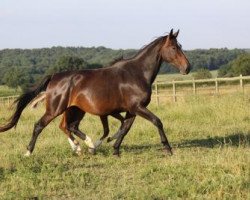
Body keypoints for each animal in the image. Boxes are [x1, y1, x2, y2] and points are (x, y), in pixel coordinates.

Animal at [0, 28, 189, 156]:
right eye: (174, 48)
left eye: (180, 46)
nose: (187, 67)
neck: (137, 73)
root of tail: (54, 76)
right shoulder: (137, 107)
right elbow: (157, 122)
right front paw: (168, 148)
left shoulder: (131, 110)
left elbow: (125, 128)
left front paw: (115, 149)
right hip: (55, 109)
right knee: (40, 125)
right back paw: (29, 152)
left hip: (75, 109)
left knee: (69, 126)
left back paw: (82, 147)